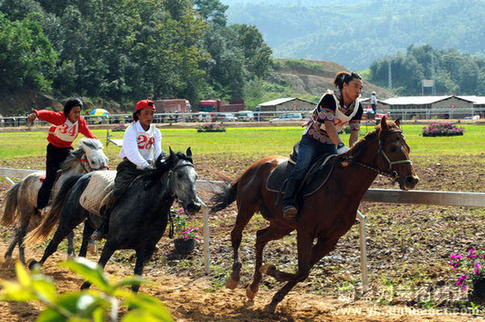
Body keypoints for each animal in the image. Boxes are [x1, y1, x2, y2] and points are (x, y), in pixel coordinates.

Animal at [27, 148, 200, 292]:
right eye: (179, 175)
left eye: (196, 177)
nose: (194, 205)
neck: (146, 208)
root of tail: (83, 177)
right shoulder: (112, 242)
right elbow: (101, 264)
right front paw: (85, 286)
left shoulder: (145, 250)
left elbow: (136, 283)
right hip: (69, 219)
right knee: (54, 243)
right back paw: (36, 265)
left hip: (89, 221)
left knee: (85, 239)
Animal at [210, 117, 418, 312]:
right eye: (393, 148)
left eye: (407, 147)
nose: (412, 179)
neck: (341, 187)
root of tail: (254, 166)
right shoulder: (306, 231)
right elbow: (302, 270)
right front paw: (272, 273)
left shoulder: (330, 239)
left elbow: (304, 271)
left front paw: (274, 296)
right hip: (247, 208)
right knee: (236, 235)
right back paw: (235, 276)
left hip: (282, 225)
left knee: (260, 237)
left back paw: (253, 287)